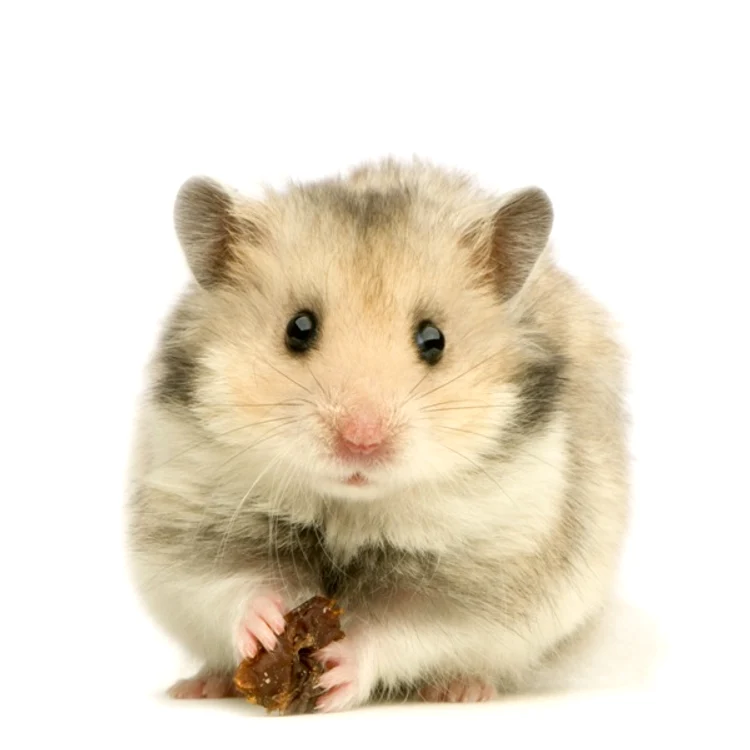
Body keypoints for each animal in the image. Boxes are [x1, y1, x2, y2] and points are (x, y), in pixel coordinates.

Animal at [126, 158, 629, 710]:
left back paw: (462, 690)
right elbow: (232, 584)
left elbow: (400, 629)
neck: (351, 506)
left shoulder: (486, 567)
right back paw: (200, 686)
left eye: (433, 339)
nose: (361, 441)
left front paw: (336, 672)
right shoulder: (194, 523)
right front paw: (268, 626)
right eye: (298, 328)